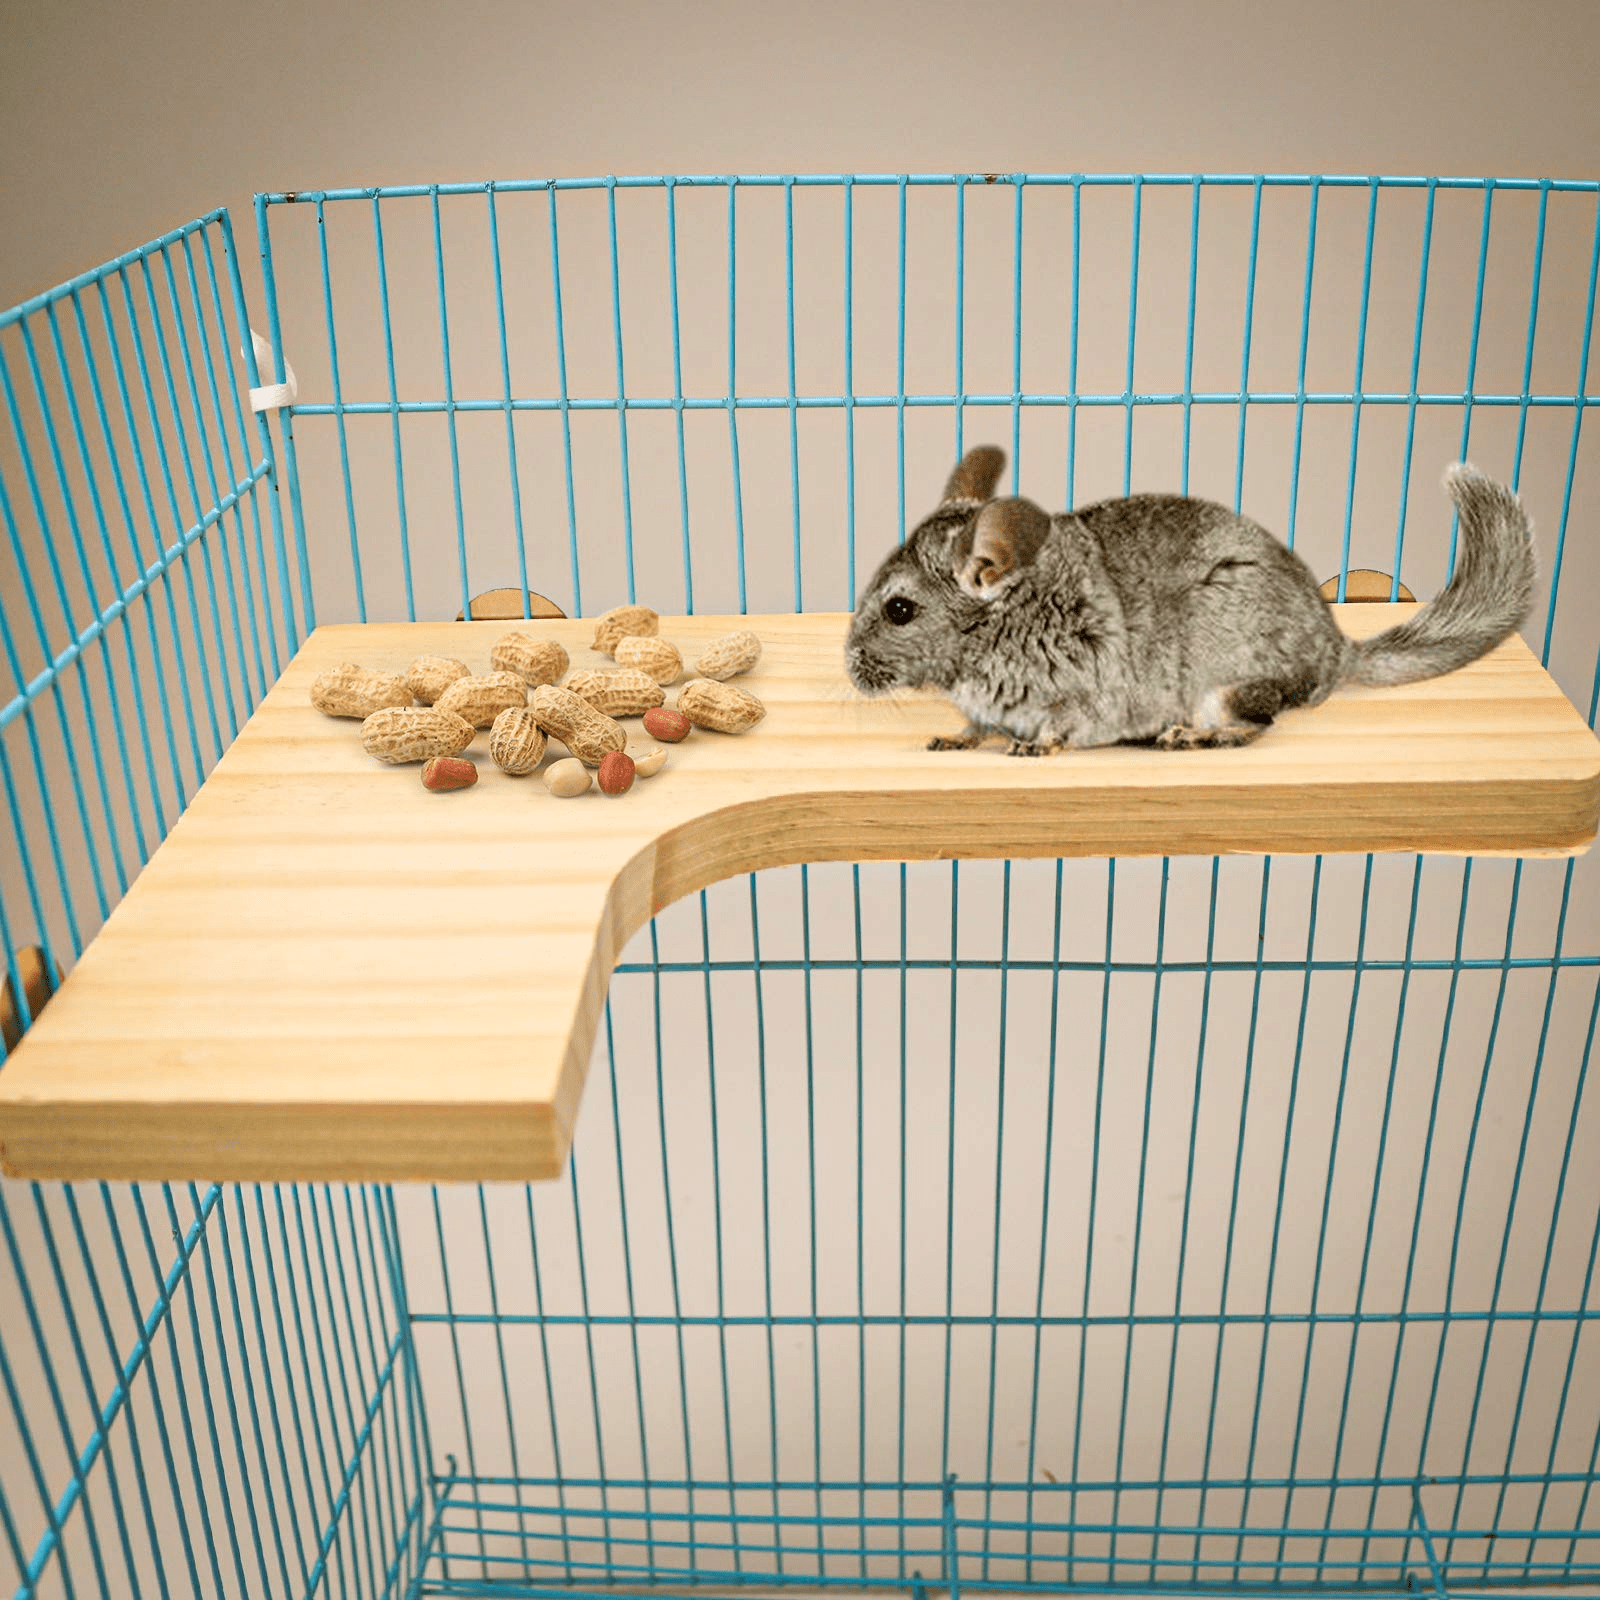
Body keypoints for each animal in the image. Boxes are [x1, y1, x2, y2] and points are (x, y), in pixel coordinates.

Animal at [845, 446, 1535, 755]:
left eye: (899, 610)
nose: (849, 667)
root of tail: (1337, 649)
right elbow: (973, 726)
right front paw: (953, 740)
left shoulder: (1086, 692)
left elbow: (1060, 727)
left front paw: (1034, 748)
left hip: (1223, 683)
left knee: (1257, 725)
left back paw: (1192, 738)